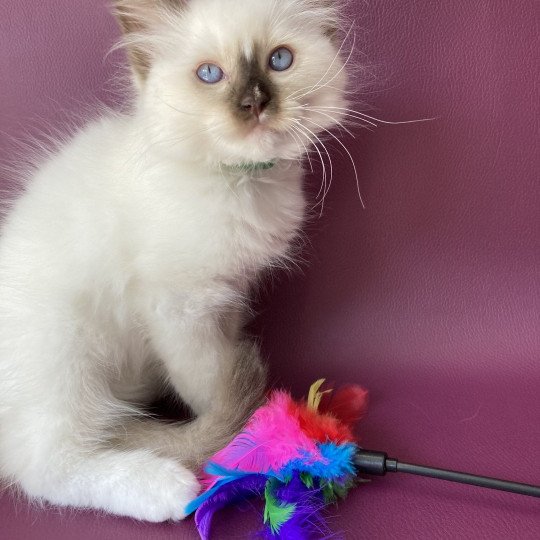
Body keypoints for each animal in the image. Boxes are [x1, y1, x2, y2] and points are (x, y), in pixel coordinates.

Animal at [0, 0, 346, 524]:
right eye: (210, 74)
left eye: (280, 61)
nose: (254, 103)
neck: (238, 183)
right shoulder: (179, 307)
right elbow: (208, 381)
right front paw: (241, 438)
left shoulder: (229, 295)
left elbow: (222, 358)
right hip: (66, 347)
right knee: (47, 467)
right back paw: (167, 487)